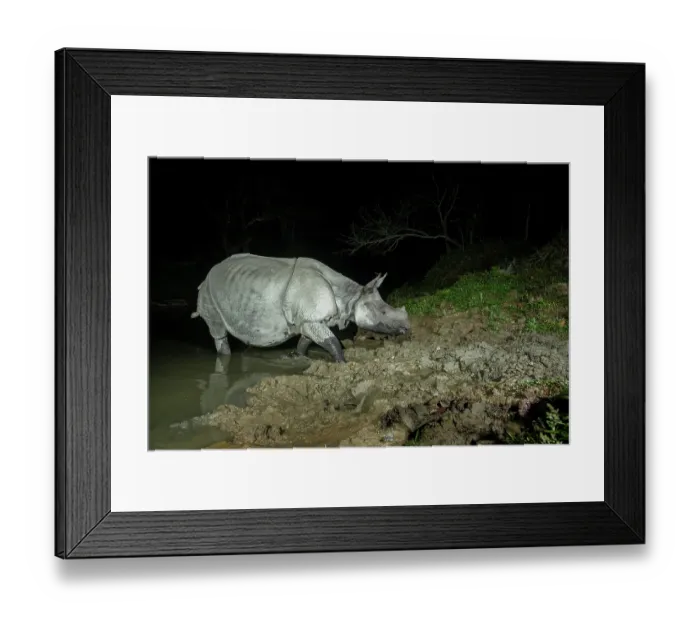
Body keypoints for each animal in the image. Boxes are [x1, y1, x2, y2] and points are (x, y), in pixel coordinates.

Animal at [190, 253, 410, 362]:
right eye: (383, 312)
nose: (408, 328)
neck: (350, 296)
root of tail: (207, 275)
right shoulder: (311, 317)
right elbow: (333, 341)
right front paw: (343, 365)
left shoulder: (309, 318)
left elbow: (306, 341)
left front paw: (298, 357)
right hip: (207, 293)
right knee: (218, 330)